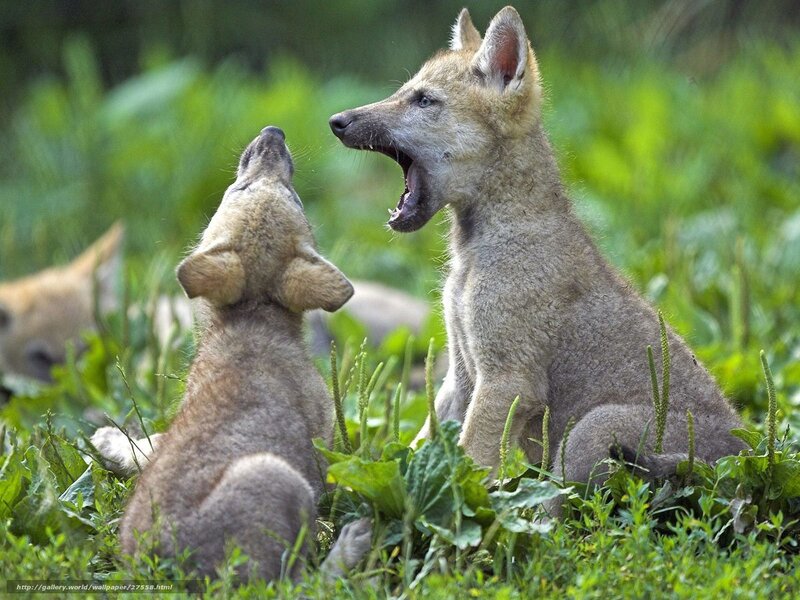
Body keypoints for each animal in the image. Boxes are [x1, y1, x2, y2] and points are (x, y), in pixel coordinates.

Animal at [92, 126, 371, 581]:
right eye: (240, 188)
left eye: (291, 195)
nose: (274, 133)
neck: (253, 315)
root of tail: (166, 567)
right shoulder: (324, 449)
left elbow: (151, 442)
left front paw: (110, 440)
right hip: (279, 481)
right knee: (301, 581)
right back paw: (353, 544)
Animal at [329, 6, 745, 506]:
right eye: (405, 91)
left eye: (424, 100)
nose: (336, 120)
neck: (475, 254)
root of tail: (741, 458)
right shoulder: (461, 376)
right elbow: (422, 445)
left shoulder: (508, 380)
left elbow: (468, 463)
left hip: (591, 430)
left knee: (561, 503)